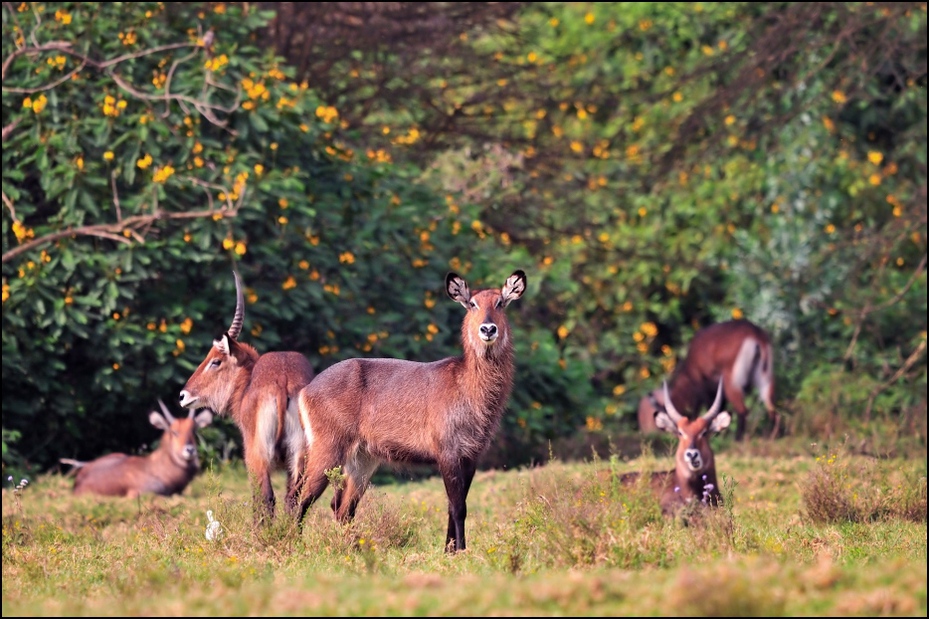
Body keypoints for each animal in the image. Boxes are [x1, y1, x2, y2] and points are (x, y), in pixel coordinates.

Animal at [178, 272, 316, 524]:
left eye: (215, 361)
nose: (183, 395)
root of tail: (283, 381)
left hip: (257, 455)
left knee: (266, 498)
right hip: (300, 456)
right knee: (294, 500)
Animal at [298, 268, 528, 556]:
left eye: (500, 303)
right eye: (472, 303)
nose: (487, 329)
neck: (467, 387)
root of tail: (305, 390)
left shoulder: (472, 455)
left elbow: (454, 505)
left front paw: (449, 551)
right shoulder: (447, 451)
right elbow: (458, 507)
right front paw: (461, 552)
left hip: (362, 459)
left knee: (342, 507)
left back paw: (354, 548)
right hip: (328, 447)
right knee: (301, 496)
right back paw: (290, 542)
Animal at [640, 320, 776, 440]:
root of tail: (755, 333)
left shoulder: (701, 384)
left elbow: (705, 409)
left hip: (732, 382)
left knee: (743, 410)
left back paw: (738, 439)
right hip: (765, 379)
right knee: (772, 409)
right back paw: (771, 436)